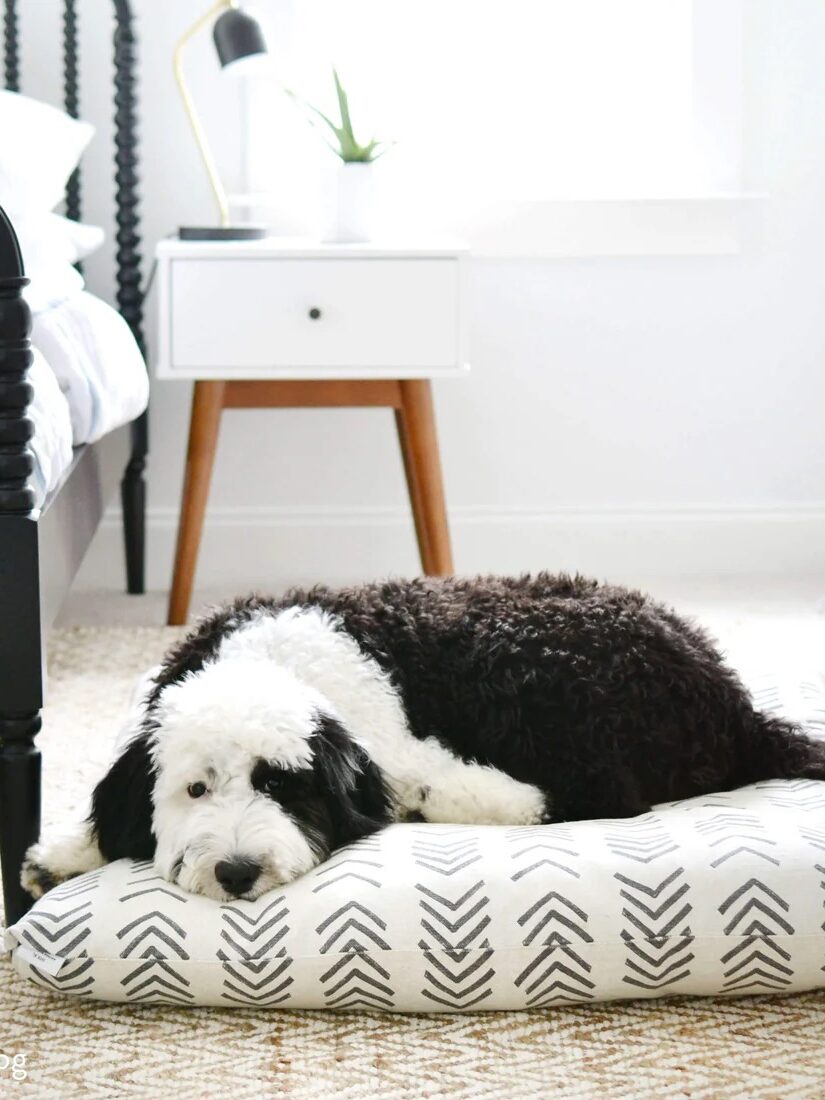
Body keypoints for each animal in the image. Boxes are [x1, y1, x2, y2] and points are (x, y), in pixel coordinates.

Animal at [22, 576, 825, 902]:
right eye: (195, 789)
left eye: (281, 785)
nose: (239, 871)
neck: (267, 663)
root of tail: (736, 706)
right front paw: (61, 854)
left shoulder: (400, 751)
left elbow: (430, 786)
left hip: (535, 673)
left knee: (601, 792)